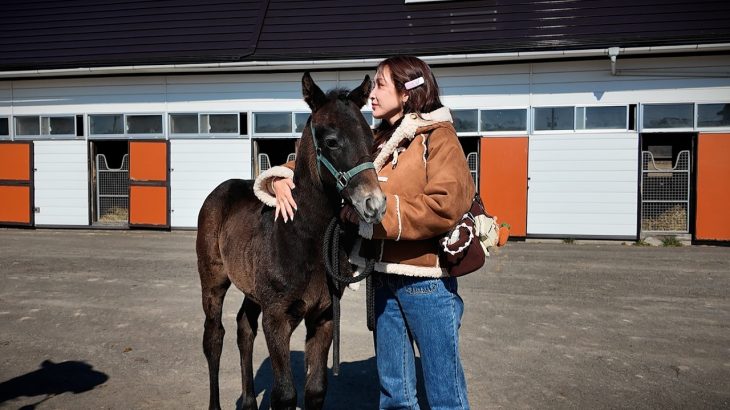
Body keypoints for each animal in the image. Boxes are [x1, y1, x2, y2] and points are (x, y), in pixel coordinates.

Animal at [196, 72, 386, 410]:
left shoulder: (323, 317)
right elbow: (284, 392)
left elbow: (315, 389)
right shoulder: (277, 318)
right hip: (213, 280)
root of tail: (220, 189)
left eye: (372, 140)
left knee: (244, 328)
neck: (304, 239)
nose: (373, 204)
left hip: (253, 290)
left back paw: (248, 402)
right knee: (214, 337)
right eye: (331, 141)